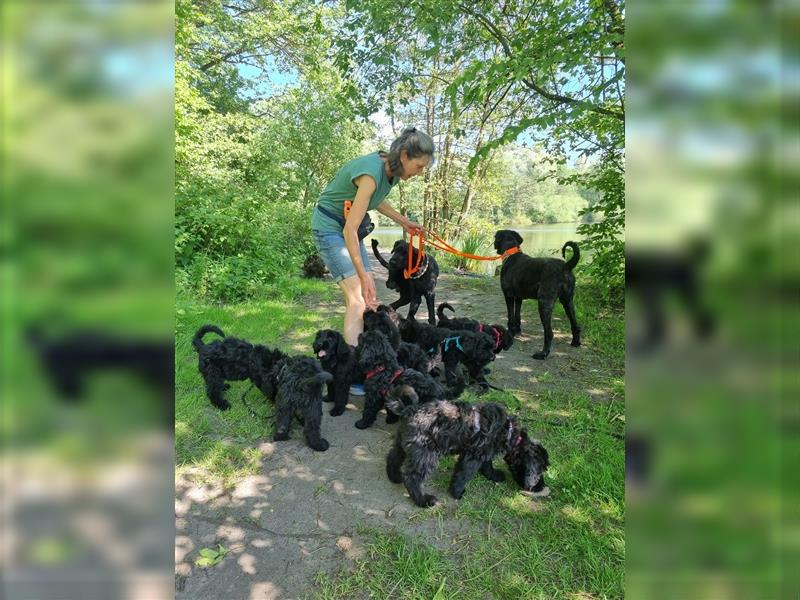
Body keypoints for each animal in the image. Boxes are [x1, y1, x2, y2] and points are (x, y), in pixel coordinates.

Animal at [382, 390, 548, 510]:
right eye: (540, 472)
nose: (540, 487)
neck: (508, 431)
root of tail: (408, 410)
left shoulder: (483, 452)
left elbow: (487, 465)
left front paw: (493, 475)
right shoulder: (472, 457)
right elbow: (463, 475)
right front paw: (457, 492)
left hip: (405, 444)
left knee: (393, 457)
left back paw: (394, 477)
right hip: (426, 453)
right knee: (412, 476)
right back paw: (424, 500)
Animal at [494, 230, 580, 358]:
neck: (511, 253)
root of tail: (565, 266)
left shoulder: (508, 295)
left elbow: (511, 316)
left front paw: (510, 334)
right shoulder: (518, 297)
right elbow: (517, 315)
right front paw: (517, 331)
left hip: (544, 303)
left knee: (549, 333)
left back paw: (542, 354)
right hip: (567, 301)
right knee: (575, 324)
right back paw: (575, 342)